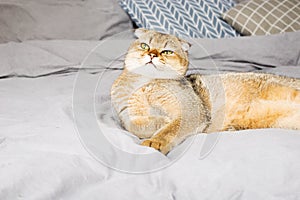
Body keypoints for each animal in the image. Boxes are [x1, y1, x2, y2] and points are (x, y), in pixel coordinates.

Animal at [110, 28, 300, 154]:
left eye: (167, 51)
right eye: (144, 46)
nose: (152, 55)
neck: (145, 83)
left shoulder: (191, 111)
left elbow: (171, 128)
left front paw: (155, 141)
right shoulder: (126, 113)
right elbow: (134, 126)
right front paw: (159, 122)